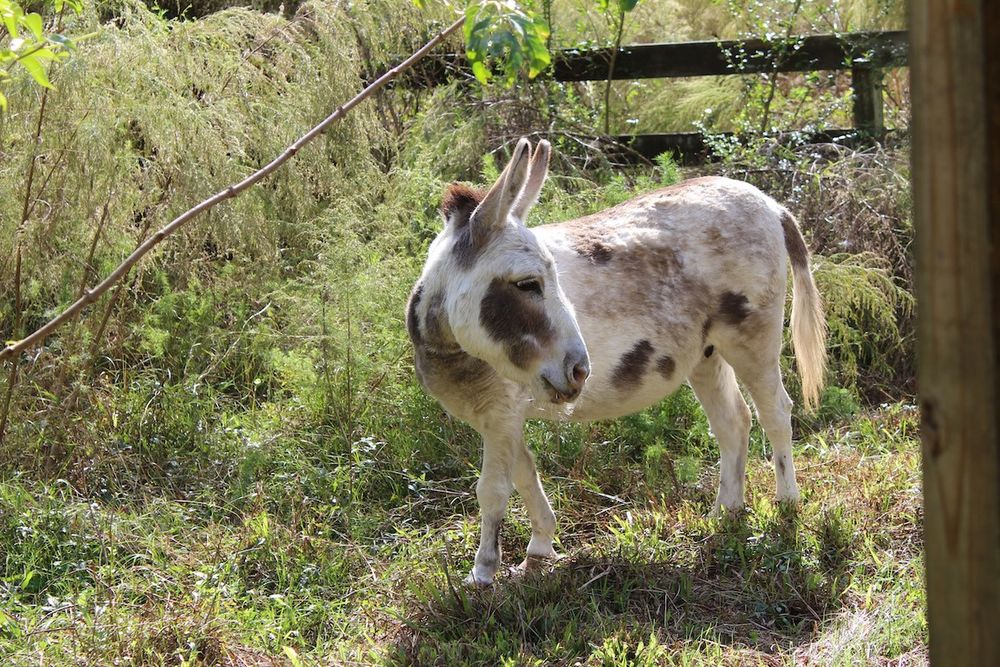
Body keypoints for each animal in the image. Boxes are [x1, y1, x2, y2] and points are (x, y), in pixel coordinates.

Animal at [405, 138, 826, 586]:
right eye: (528, 284)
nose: (580, 372)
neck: (453, 350)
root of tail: (769, 203)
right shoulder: (498, 416)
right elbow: (525, 474)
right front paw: (539, 551)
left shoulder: (502, 412)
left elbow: (493, 489)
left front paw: (483, 574)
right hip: (706, 354)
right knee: (733, 422)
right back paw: (725, 515)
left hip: (752, 341)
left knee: (776, 414)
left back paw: (787, 506)